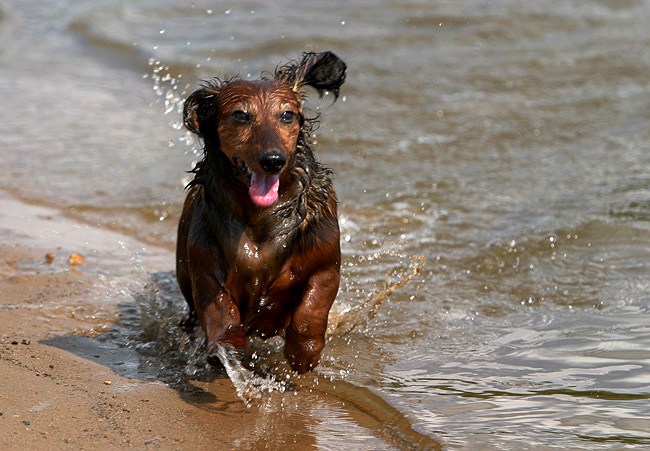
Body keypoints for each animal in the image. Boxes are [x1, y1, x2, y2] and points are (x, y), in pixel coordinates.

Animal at [172, 51, 344, 374]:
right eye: (241, 115)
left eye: (287, 115)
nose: (273, 160)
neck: (260, 219)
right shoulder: (205, 266)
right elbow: (220, 308)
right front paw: (227, 347)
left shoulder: (326, 264)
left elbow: (311, 308)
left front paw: (303, 353)